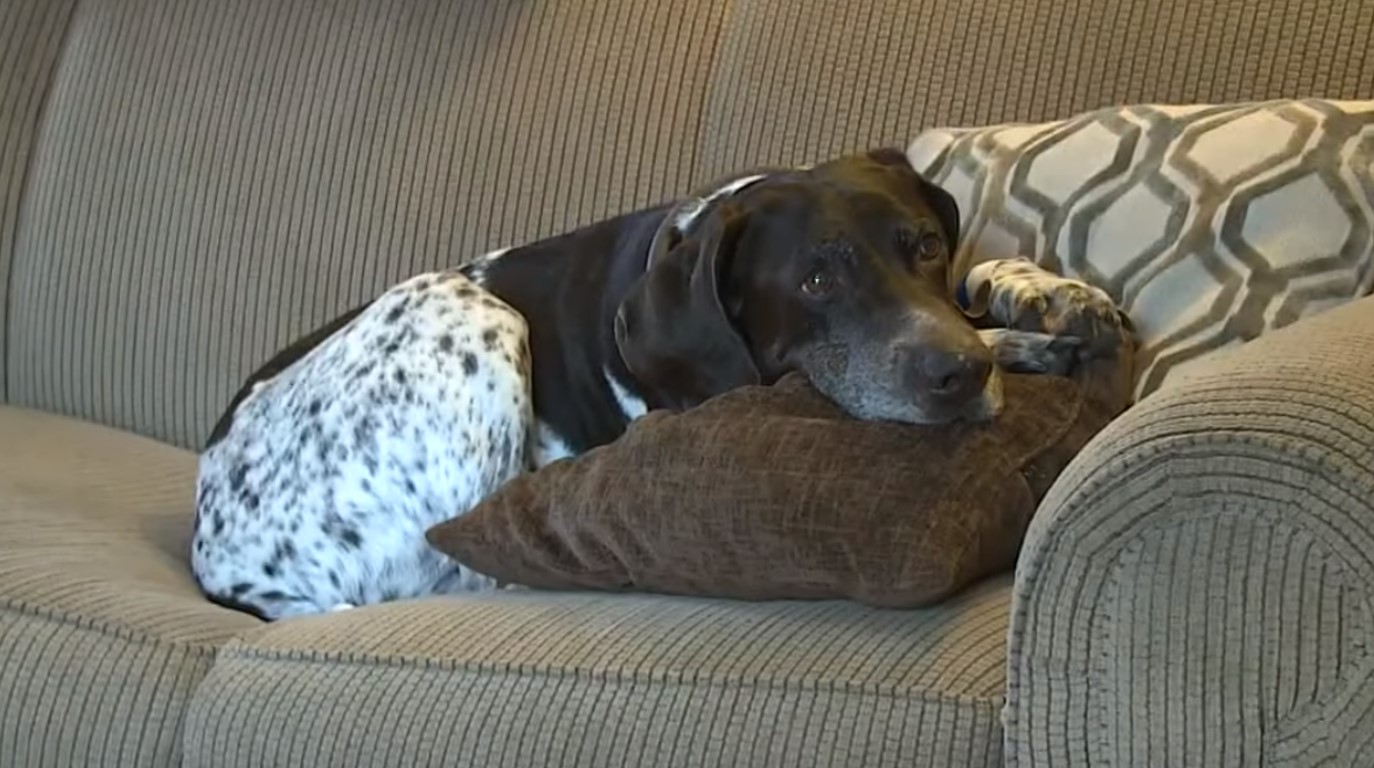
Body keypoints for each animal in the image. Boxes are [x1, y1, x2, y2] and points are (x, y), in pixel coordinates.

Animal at [190, 147, 1126, 620]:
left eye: (926, 244)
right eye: (816, 281)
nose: (958, 375)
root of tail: (217, 556)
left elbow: (988, 284)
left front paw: (1044, 292)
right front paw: (1015, 336)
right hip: (461, 306)